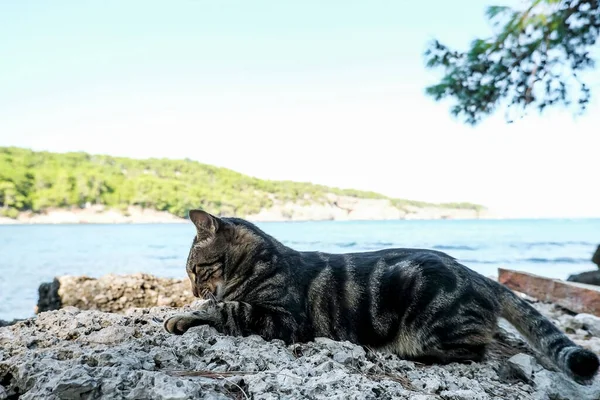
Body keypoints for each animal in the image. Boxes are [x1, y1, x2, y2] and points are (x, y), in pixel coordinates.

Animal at [164, 209, 600, 384]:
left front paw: (187, 313)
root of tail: (475, 273)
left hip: (434, 324)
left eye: (194, 269)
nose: (191, 287)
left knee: (487, 349)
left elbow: (225, 307)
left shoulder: (283, 318)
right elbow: (222, 304)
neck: (259, 261)